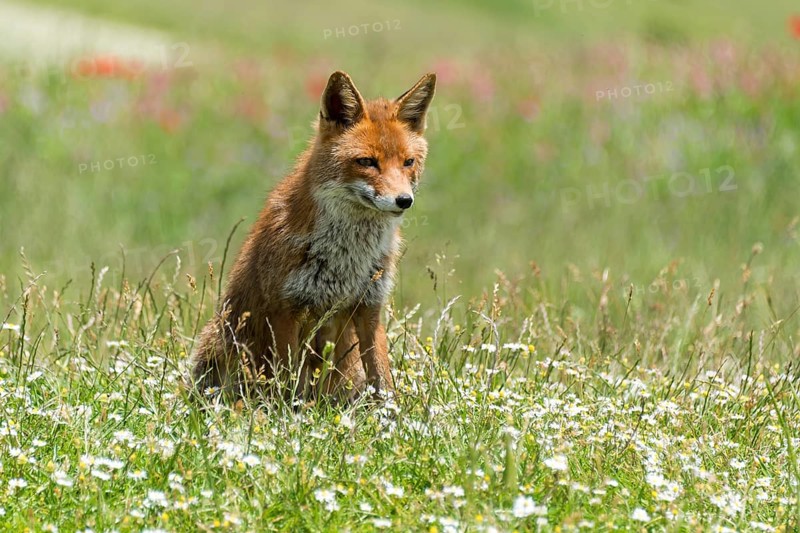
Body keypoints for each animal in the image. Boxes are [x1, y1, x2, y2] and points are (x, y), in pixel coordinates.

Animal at [188, 71, 436, 402]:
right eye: (367, 162)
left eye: (408, 162)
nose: (404, 200)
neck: (348, 256)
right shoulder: (285, 309)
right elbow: (288, 379)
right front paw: (288, 414)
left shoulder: (369, 306)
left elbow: (382, 379)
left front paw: (392, 416)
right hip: (220, 344)